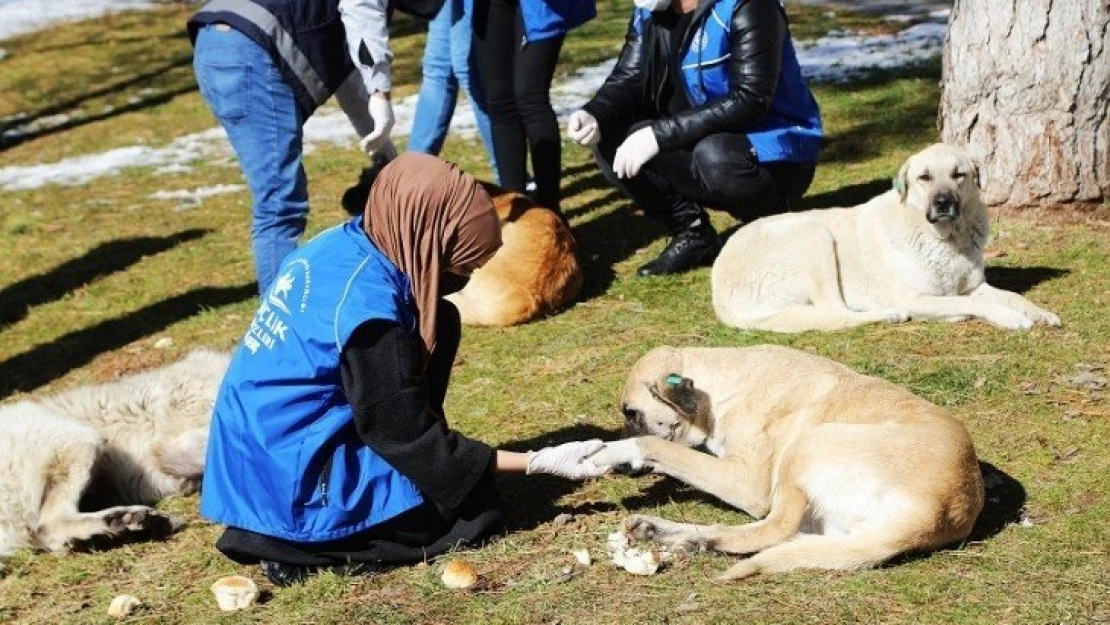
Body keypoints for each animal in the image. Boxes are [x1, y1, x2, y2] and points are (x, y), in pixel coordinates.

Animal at [594, 344, 985, 581]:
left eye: (631, 413)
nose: (621, 473)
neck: (724, 385)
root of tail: (941, 509)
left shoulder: (748, 483)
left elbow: (654, 445)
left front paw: (611, 450)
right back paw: (670, 533)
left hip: (807, 446)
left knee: (775, 529)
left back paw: (691, 539)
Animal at [710, 145, 1056, 335]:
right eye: (924, 177)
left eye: (959, 175)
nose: (943, 202)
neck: (945, 239)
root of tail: (718, 291)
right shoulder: (916, 298)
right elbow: (971, 303)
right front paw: (1009, 317)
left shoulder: (975, 285)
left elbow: (1010, 295)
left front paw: (1038, 312)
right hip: (814, 235)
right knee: (837, 314)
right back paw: (891, 314)